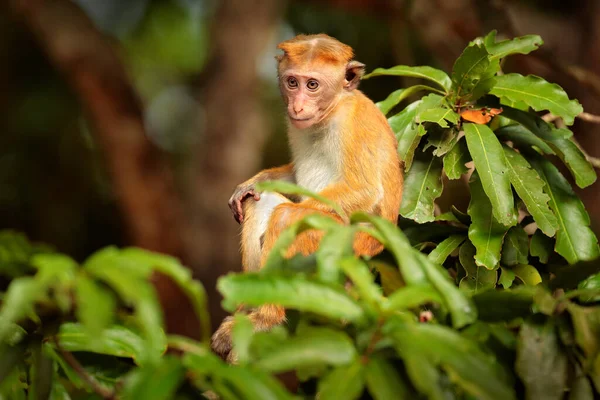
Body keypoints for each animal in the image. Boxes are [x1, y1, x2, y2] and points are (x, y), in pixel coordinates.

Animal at [211, 34, 404, 362]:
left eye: (312, 85)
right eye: (292, 82)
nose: (298, 106)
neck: (334, 108)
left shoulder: (354, 124)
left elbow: (365, 190)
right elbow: (289, 179)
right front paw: (253, 183)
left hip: (343, 243)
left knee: (285, 217)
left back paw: (266, 318)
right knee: (262, 203)